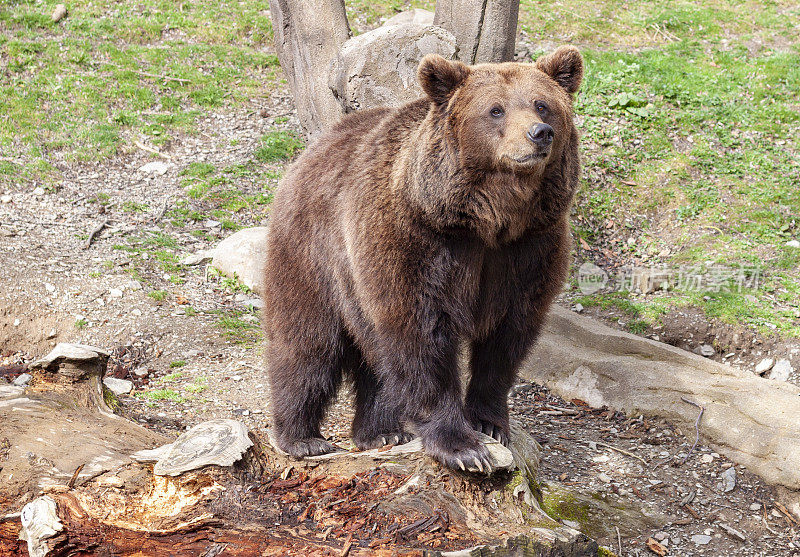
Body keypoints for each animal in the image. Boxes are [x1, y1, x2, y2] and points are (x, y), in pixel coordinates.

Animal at [262, 45, 580, 472]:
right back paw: (301, 438)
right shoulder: (415, 242)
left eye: (542, 105)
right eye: (495, 110)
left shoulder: (529, 250)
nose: (539, 133)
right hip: (313, 254)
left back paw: (381, 431)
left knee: (374, 358)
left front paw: (491, 424)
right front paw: (462, 448)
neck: (487, 220)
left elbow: (508, 336)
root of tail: (313, 149)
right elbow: (419, 333)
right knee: (308, 343)